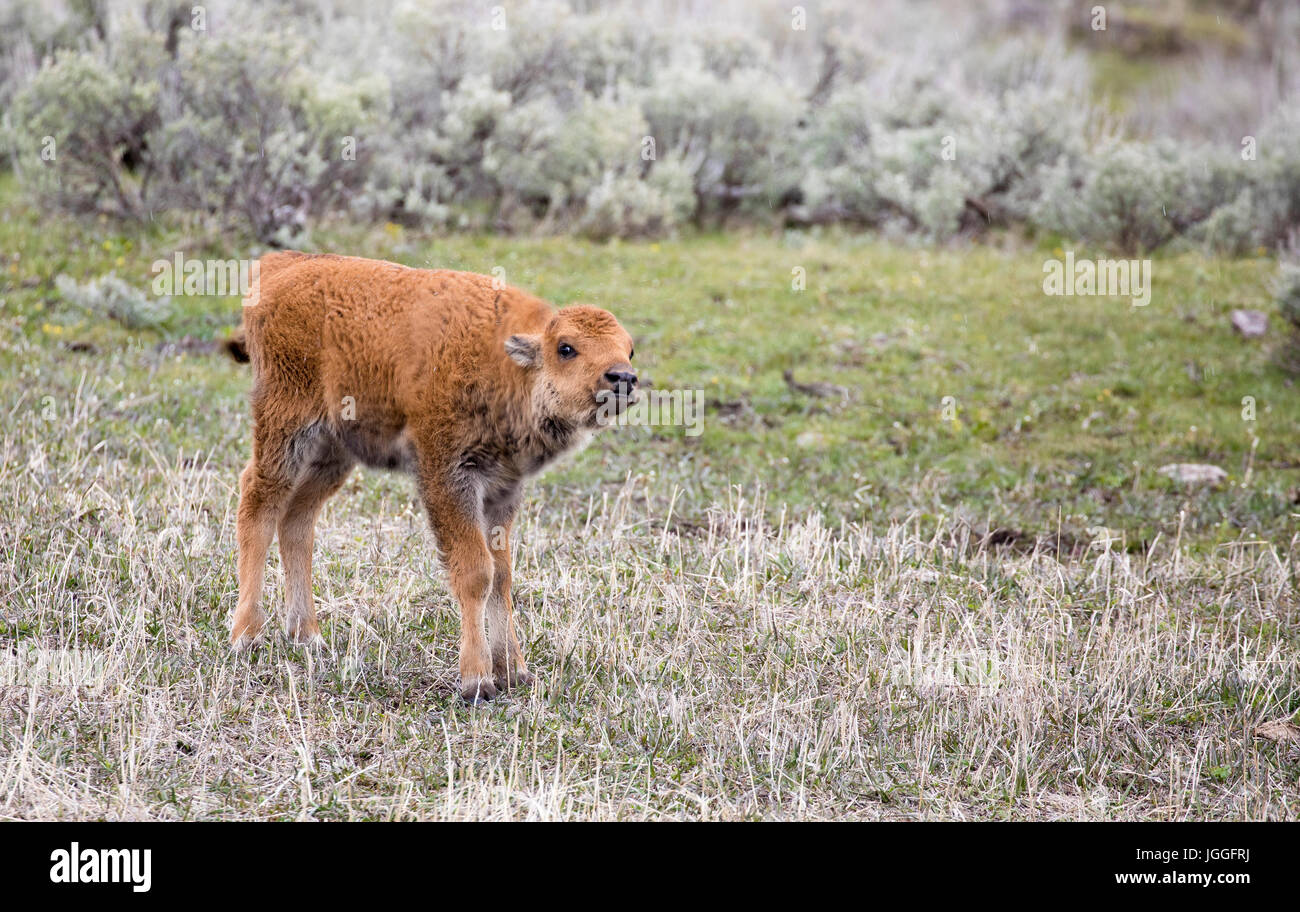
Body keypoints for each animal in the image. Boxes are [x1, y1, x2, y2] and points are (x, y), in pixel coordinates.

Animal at [226, 253, 637, 701]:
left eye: (630, 349)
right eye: (566, 348)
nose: (623, 378)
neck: (507, 362)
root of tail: (279, 264)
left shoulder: (503, 491)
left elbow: (502, 576)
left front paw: (515, 672)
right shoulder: (449, 478)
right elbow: (476, 573)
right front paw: (477, 681)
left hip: (332, 453)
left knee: (296, 521)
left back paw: (307, 636)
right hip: (287, 427)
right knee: (258, 504)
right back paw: (247, 635)